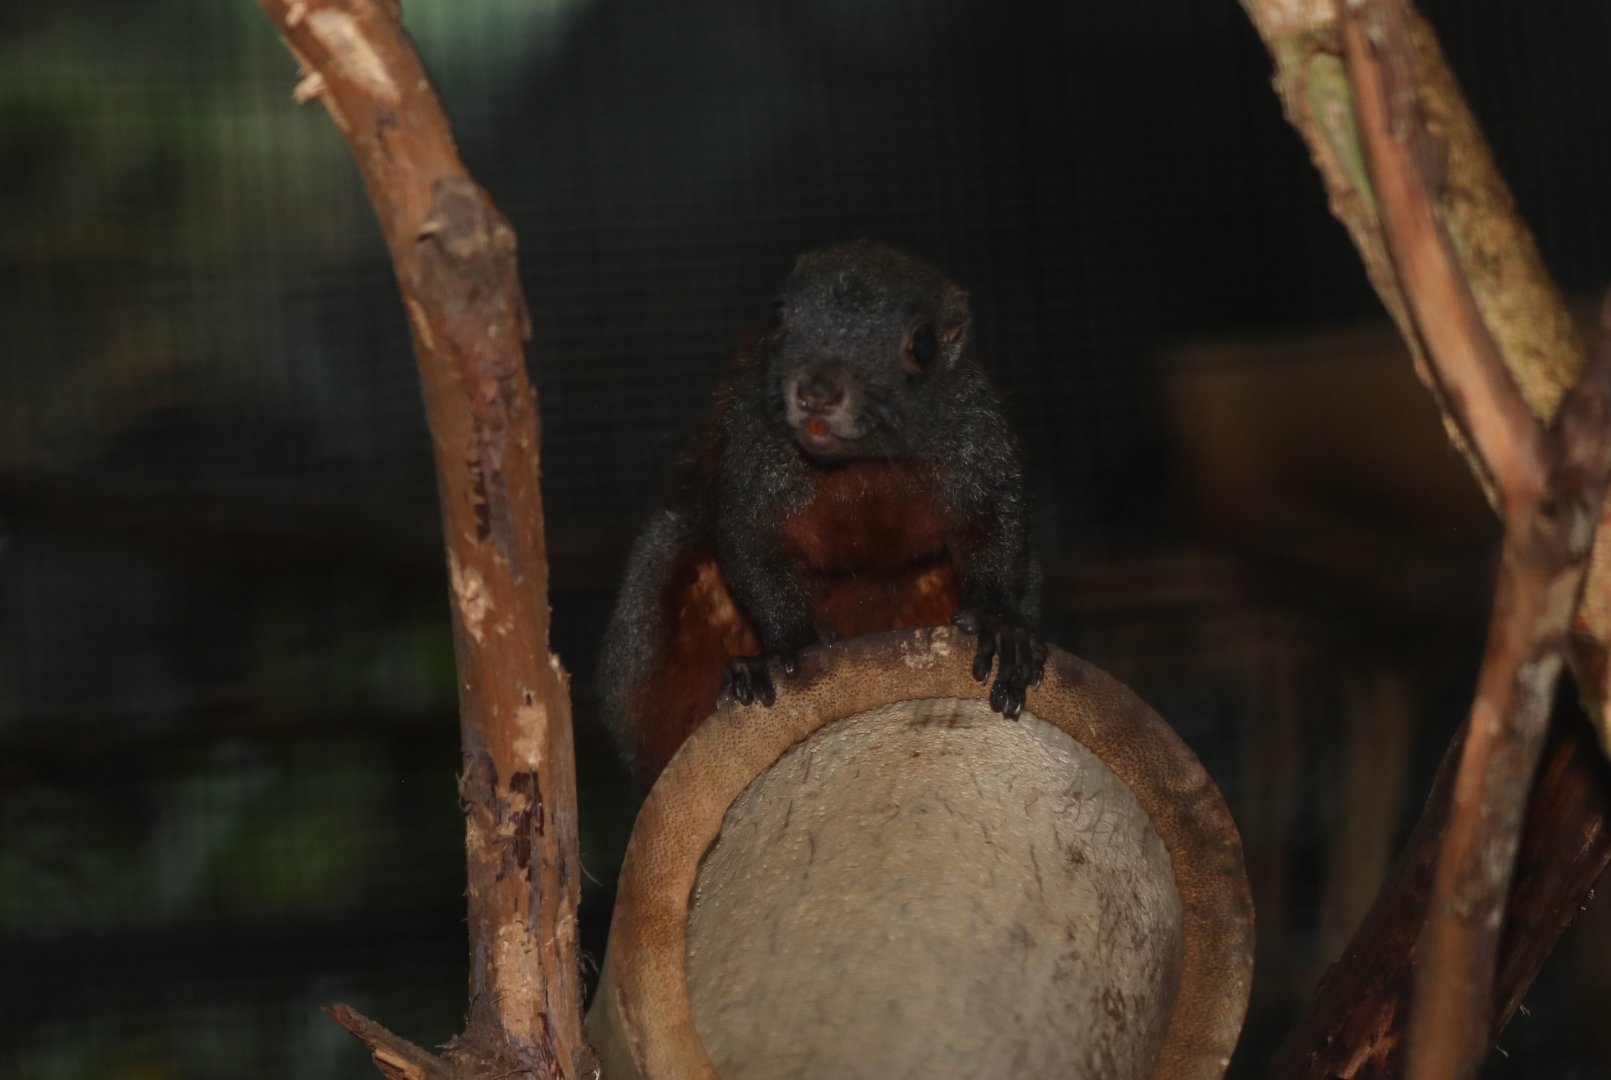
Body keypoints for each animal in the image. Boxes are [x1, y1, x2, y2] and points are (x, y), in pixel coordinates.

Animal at [598, 241, 1045, 785]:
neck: (861, 463)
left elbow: (998, 522)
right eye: (778, 313)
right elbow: (751, 544)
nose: (817, 391)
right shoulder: (753, 440)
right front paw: (786, 648)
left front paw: (999, 625)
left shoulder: (978, 431)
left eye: (923, 344)